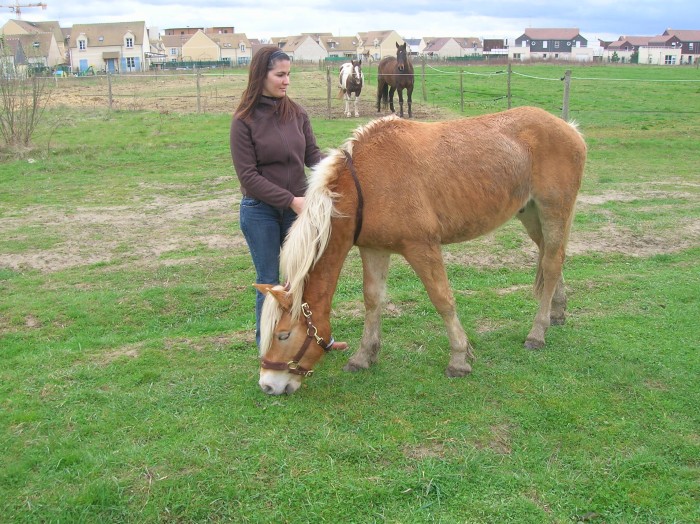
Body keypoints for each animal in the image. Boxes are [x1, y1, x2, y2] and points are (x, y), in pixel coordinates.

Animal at [256, 105, 584, 392]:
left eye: (283, 335)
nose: (268, 385)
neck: (366, 184)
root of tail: (569, 128)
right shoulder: (374, 249)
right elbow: (372, 300)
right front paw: (364, 356)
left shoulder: (422, 248)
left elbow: (442, 300)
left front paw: (459, 359)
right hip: (530, 214)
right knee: (550, 258)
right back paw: (556, 312)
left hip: (554, 211)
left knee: (552, 263)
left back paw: (537, 332)